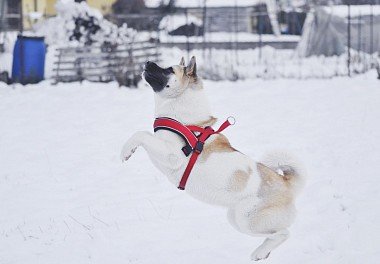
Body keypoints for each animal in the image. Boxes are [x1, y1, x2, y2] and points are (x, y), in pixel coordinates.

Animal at [120, 56, 304, 260]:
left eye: (169, 69)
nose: (147, 62)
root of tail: (286, 183)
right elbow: (143, 135)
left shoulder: (172, 155)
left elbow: (140, 134)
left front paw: (126, 151)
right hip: (235, 219)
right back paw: (263, 252)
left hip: (247, 218)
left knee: (284, 233)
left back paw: (260, 252)